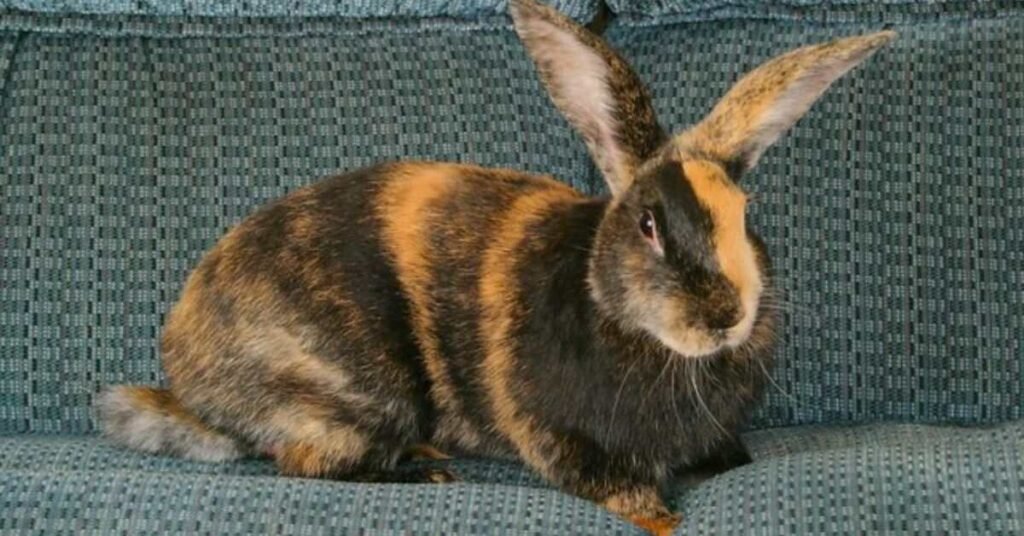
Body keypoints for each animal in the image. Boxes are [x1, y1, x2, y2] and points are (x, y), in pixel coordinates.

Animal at [97, 0, 895, 533]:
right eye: (648, 225)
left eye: (744, 214)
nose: (727, 315)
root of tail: (190, 381)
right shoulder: (562, 438)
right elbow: (625, 494)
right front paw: (664, 518)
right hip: (355, 390)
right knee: (307, 461)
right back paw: (426, 470)